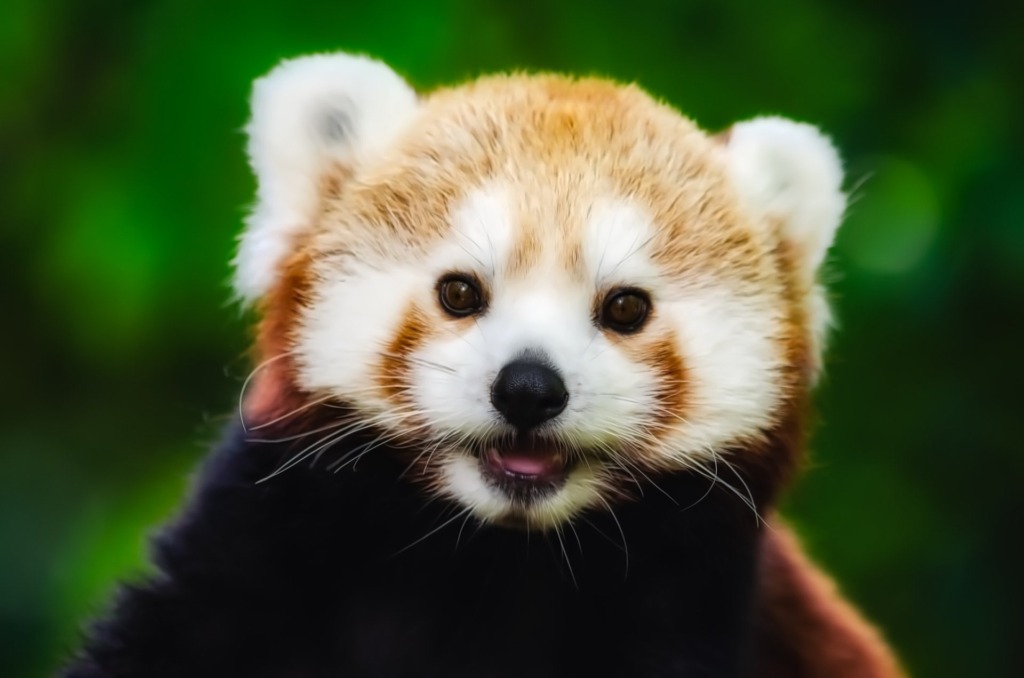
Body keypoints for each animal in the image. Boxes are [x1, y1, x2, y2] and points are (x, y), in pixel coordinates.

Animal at [62, 52, 904, 678]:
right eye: (460, 292)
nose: (529, 389)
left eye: (625, 308)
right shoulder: (257, 537)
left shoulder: (690, 602)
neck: (488, 555)